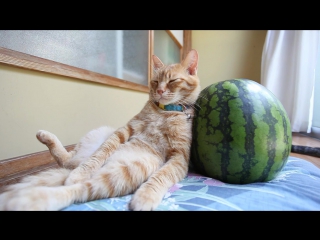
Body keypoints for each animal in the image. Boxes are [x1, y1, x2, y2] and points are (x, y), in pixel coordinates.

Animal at [0, 48, 201, 210]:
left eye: (173, 80)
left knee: (77, 188)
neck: (164, 112)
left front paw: (146, 196)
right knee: (70, 163)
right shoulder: (125, 129)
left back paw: (33, 199)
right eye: (155, 81)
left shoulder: (179, 158)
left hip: (129, 171)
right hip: (98, 136)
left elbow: (161, 176)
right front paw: (82, 172)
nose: (159, 91)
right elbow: (99, 154)